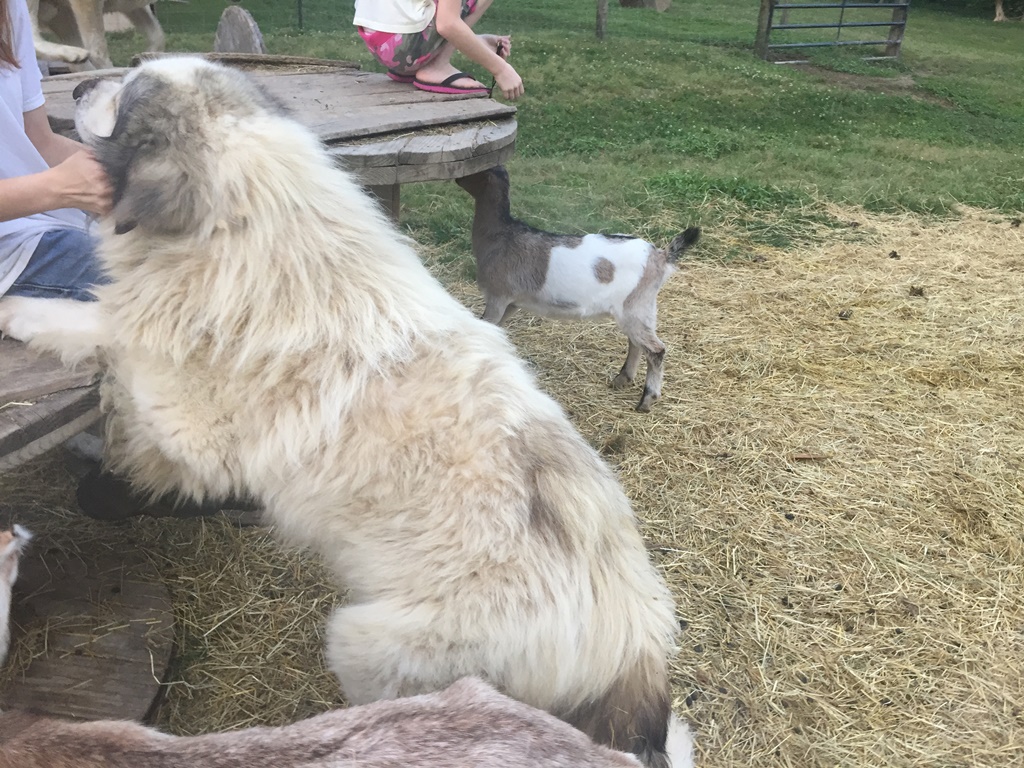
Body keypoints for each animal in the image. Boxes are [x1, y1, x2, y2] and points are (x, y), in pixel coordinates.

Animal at [460, 165, 700, 411]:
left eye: (474, 174)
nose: (458, 179)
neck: (501, 235)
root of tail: (661, 256)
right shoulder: (513, 302)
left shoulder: (498, 295)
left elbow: (486, 324)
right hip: (641, 308)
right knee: (637, 343)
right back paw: (622, 379)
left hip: (634, 306)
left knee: (655, 349)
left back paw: (646, 399)